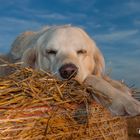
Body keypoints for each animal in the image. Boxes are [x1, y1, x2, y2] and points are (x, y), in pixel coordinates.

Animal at [0, 24, 140, 116]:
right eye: (51, 52)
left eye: (81, 51)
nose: (68, 71)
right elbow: (93, 79)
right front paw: (124, 100)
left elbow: (101, 77)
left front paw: (121, 89)